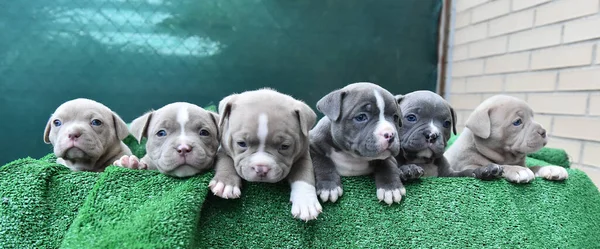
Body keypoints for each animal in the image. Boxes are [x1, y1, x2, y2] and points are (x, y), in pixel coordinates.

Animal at [210, 88, 324, 221]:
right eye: (241, 143)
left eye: (284, 146)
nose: (261, 169)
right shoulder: (224, 147)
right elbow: (226, 160)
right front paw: (225, 183)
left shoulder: (303, 154)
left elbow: (304, 173)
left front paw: (306, 202)